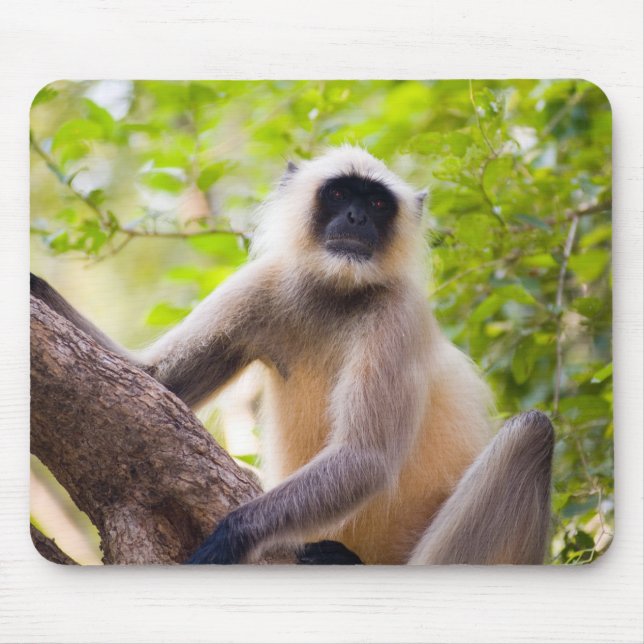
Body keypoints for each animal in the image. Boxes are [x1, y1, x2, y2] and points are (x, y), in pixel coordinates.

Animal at [31, 145, 554, 565]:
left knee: (533, 430)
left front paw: (230, 537)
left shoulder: (398, 314)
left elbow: (365, 458)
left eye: (377, 203)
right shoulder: (264, 282)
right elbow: (153, 380)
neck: (336, 293)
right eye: (339, 195)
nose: (358, 219)